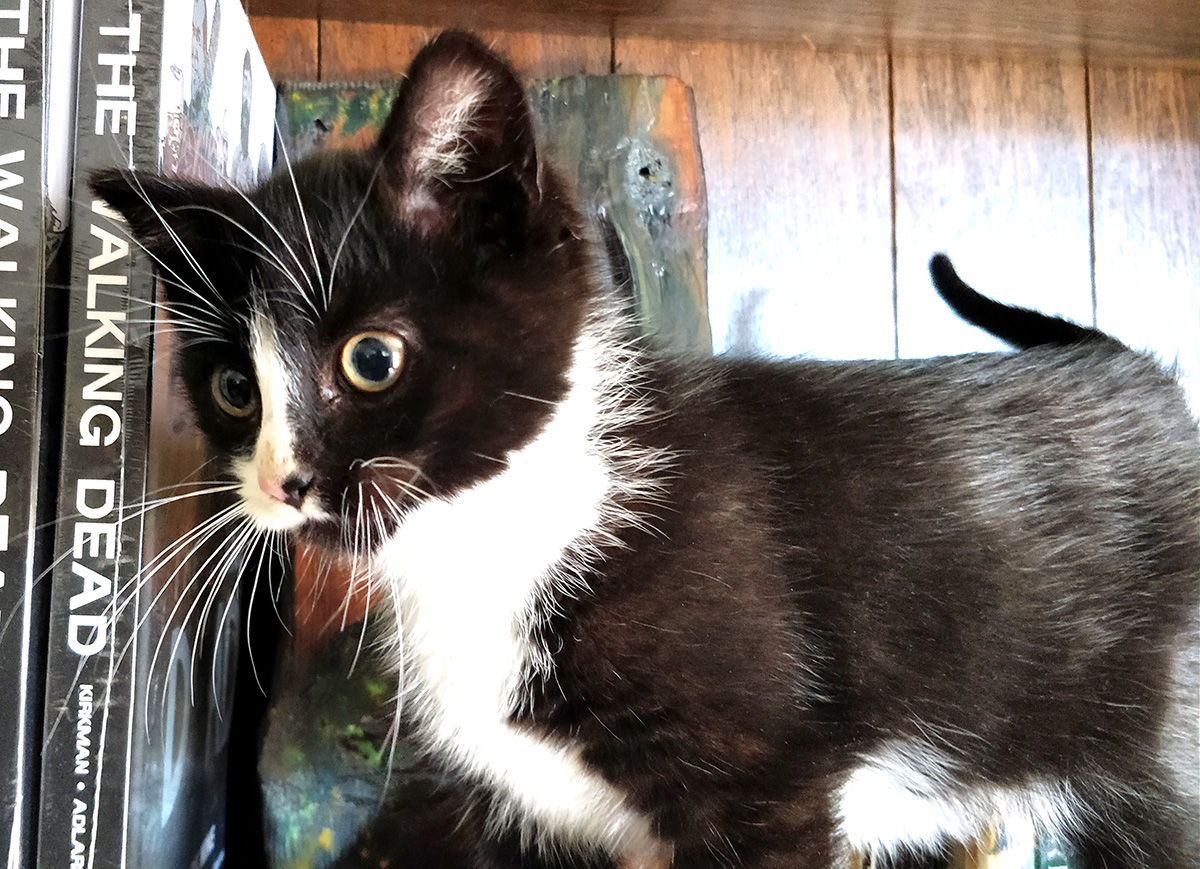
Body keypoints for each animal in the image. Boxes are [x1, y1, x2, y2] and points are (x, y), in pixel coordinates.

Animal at [88, 32, 1195, 869]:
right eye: (234, 388)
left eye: (370, 358)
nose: (284, 481)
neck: (493, 535)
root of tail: (1143, 374)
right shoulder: (527, 805)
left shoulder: (767, 781)